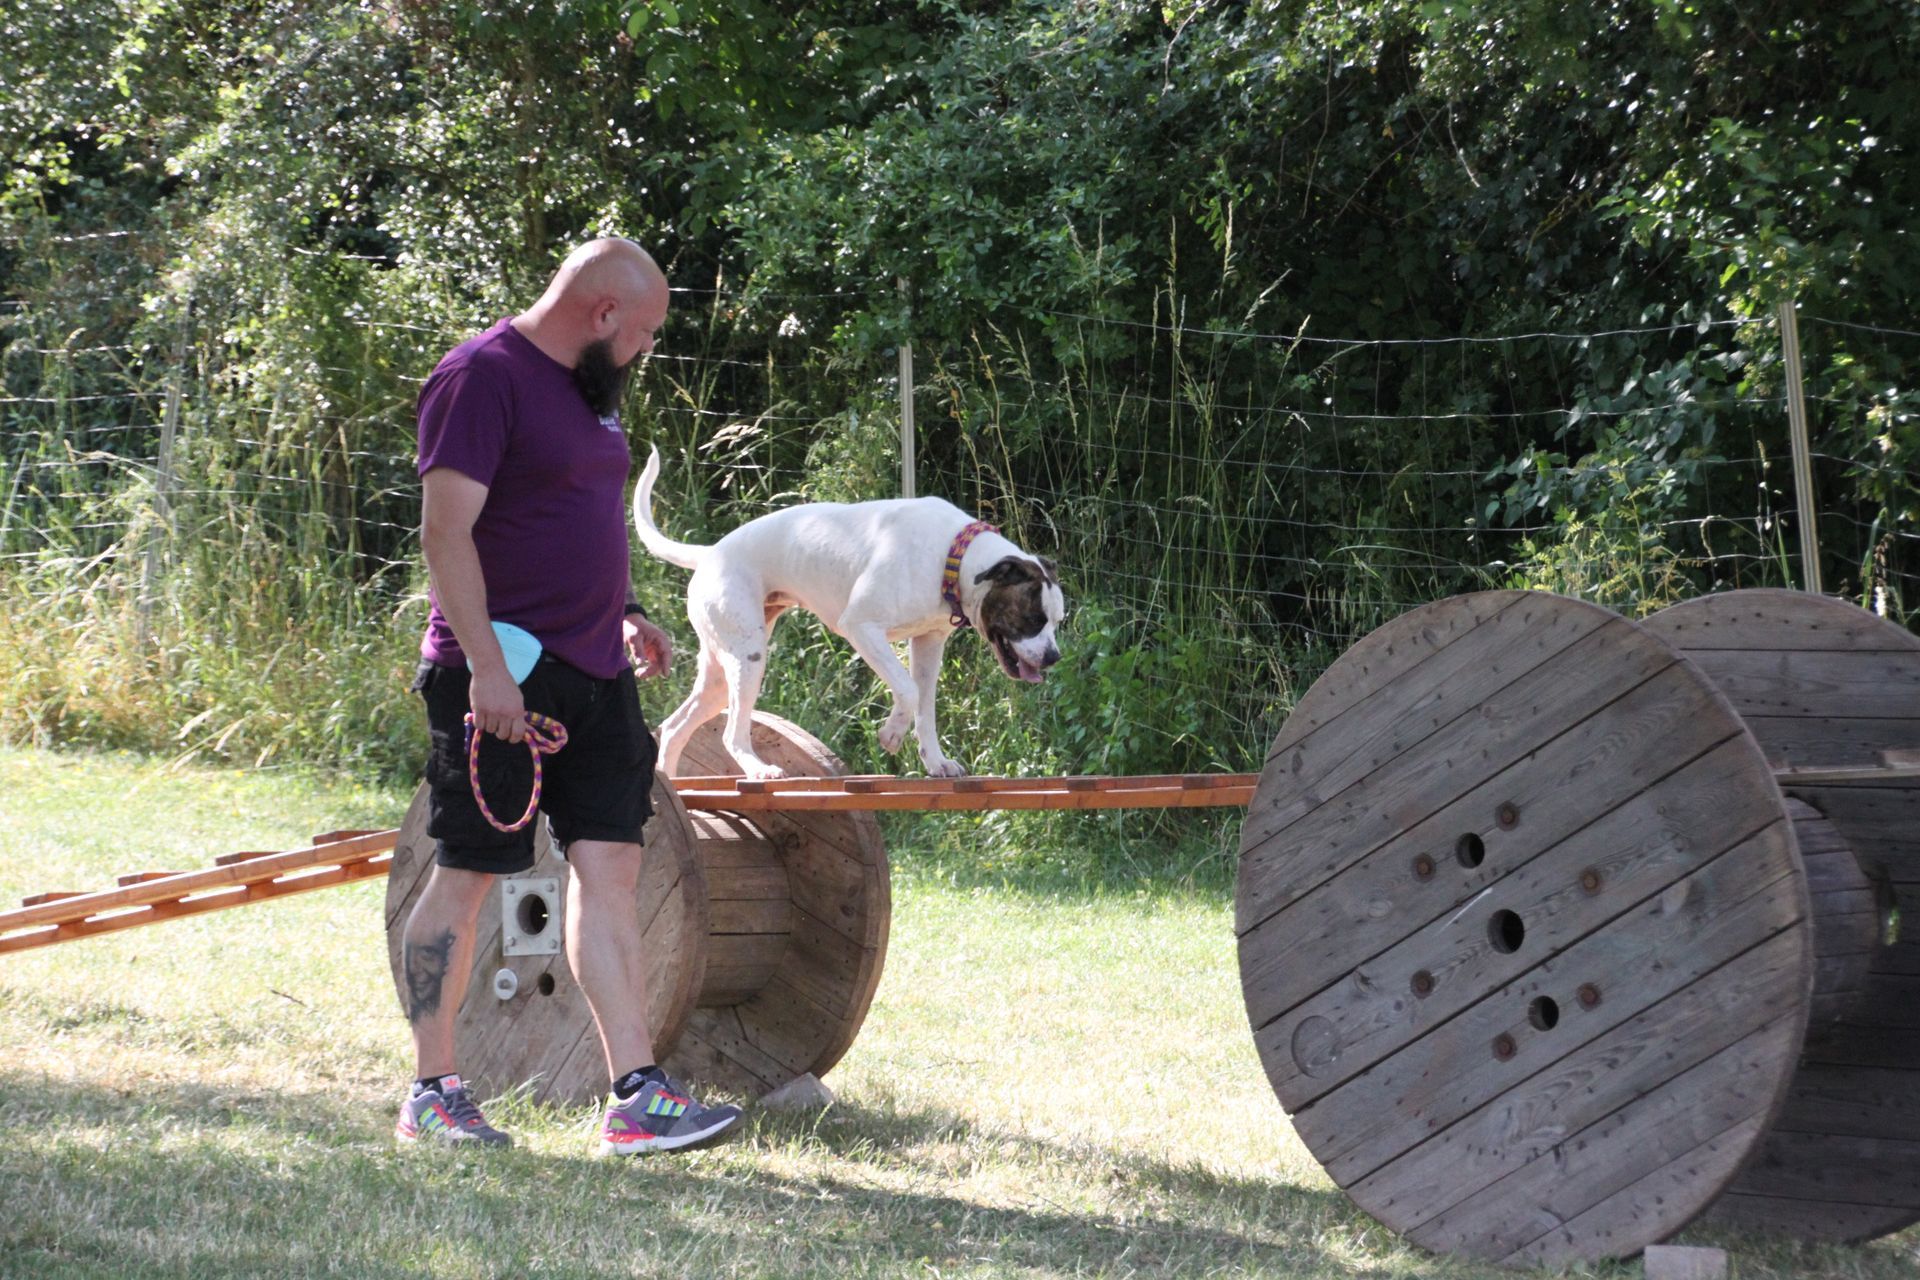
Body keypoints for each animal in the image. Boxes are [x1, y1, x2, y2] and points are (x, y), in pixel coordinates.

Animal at [632, 447, 1065, 779]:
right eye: (1032, 620)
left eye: (1057, 622)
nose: (1053, 658)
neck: (952, 557)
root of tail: (710, 554)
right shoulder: (862, 627)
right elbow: (907, 690)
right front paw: (891, 735)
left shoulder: (928, 642)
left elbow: (925, 706)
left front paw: (936, 762)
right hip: (748, 658)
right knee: (730, 733)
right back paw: (759, 770)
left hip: (720, 674)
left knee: (674, 727)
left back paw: (673, 787)